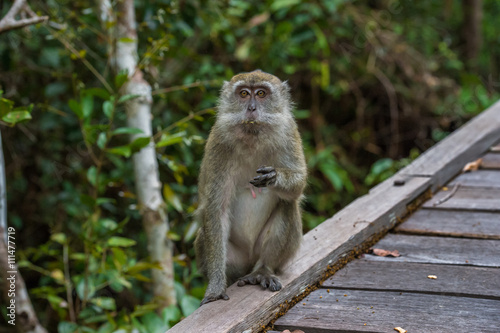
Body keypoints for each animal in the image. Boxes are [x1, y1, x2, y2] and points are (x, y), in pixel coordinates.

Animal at [194, 69, 304, 304]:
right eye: (244, 93)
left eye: (261, 93)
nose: (251, 108)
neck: (253, 138)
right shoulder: (218, 141)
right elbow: (216, 209)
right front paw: (215, 287)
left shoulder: (289, 131)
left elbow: (298, 184)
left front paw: (274, 177)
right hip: (237, 260)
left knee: (287, 203)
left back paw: (263, 270)